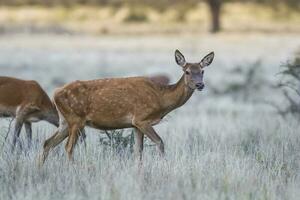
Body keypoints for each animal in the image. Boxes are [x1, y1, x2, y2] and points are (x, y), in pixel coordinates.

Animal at [38, 49, 214, 165]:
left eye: (202, 71)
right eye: (187, 71)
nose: (200, 85)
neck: (161, 99)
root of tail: (55, 93)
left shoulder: (135, 124)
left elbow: (138, 150)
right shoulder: (142, 118)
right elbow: (160, 142)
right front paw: (165, 166)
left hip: (65, 121)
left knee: (48, 143)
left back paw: (40, 169)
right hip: (76, 119)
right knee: (68, 147)